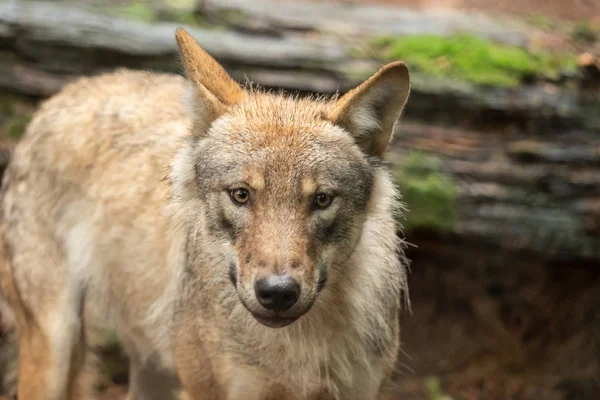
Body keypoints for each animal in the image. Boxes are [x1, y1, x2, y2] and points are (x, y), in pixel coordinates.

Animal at [0, 28, 410, 400]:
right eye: (241, 195)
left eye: (322, 200)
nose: (277, 293)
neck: (298, 348)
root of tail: (63, 94)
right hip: (55, 345)